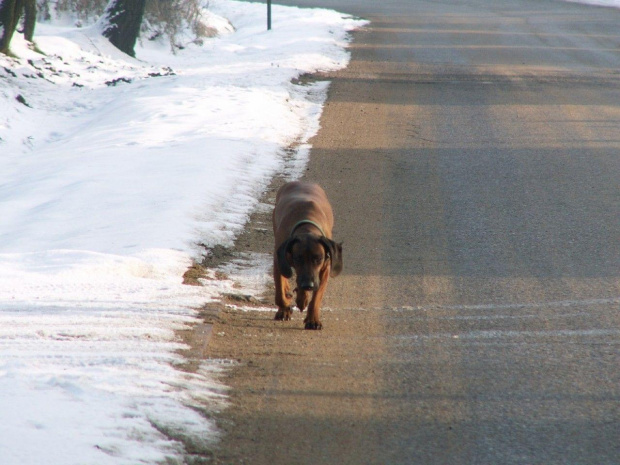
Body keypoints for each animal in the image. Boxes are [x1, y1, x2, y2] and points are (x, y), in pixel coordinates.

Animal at [272, 179, 344, 328]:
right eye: (298, 258)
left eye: (319, 258)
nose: (308, 285)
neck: (307, 228)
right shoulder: (279, 258)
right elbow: (280, 293)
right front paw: (285, 308)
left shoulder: (324, 269)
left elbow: (316, 297)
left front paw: (312, 320)